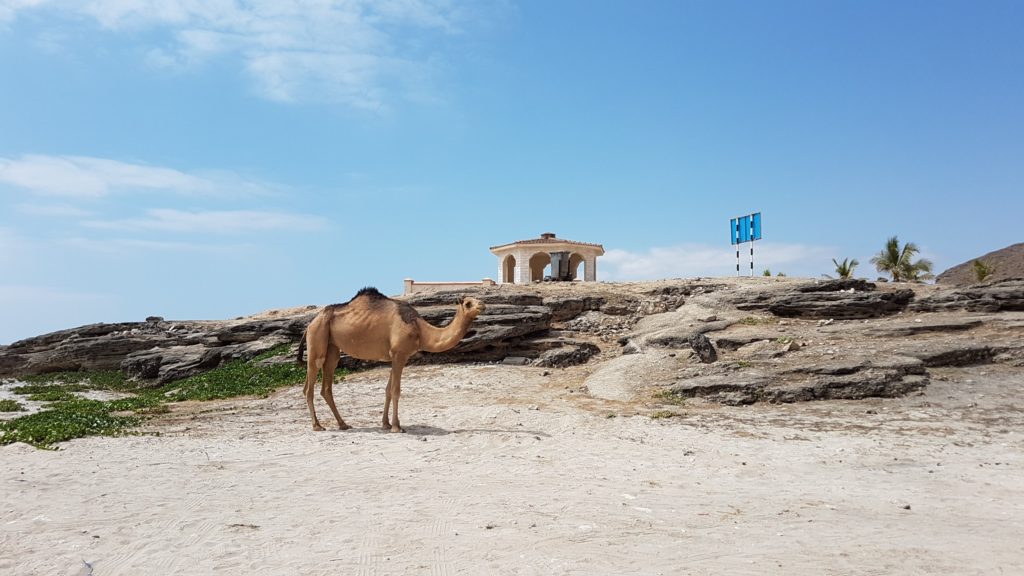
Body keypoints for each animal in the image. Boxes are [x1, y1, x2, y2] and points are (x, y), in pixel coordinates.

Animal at [299, 286, 485, 430]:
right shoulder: (399, 354)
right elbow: (396, 390)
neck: (420, 329)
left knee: (326, 387)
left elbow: (388, 390)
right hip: (317, 338)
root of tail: (309, 325)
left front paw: (386, 424)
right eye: (468, 303)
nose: (482, 304)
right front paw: (396, 427)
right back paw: (317, 426)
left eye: (477, 300)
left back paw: (343, 424)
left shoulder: (394, 356)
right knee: (309, 385)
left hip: (332, 347)